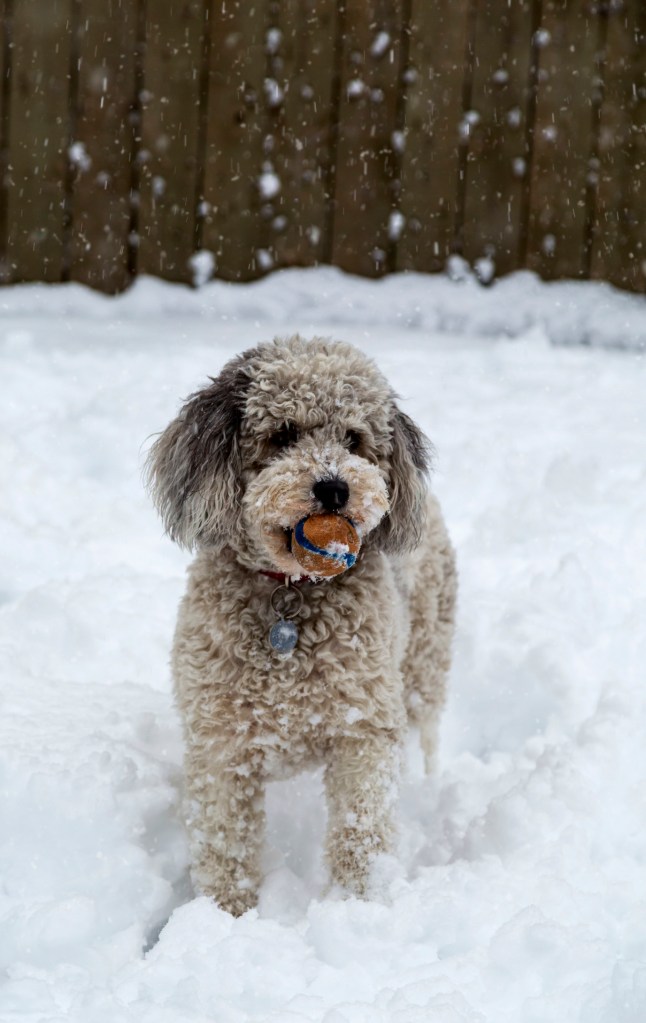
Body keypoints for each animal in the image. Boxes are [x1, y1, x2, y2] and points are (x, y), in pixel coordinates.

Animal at [146, 337, 456, 920]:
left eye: (355, 439)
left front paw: (364, 903)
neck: (292, 589)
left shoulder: (364, 728)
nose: (334, 488)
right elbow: (225, 843)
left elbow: (361, 828)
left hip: (427, 661)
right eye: (284, 433)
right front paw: (224, 917)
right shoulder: (220, 743)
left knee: (427, 736)